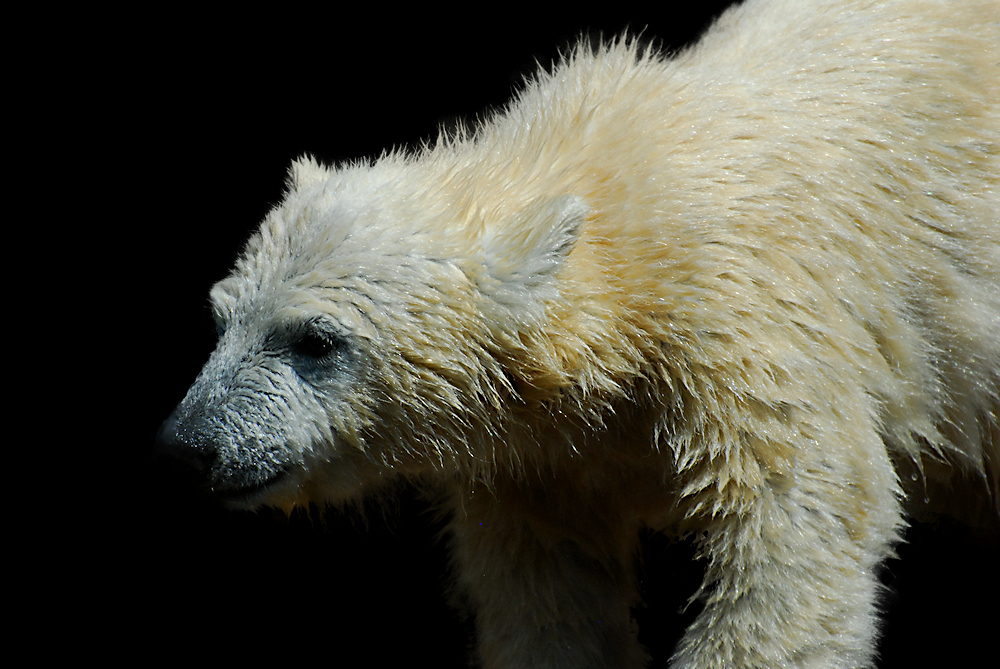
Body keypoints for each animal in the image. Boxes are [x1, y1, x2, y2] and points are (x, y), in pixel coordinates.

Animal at [156, 0, 1000, 664]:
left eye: (315, 340)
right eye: (221, 317)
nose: (189, 445)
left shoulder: (746, 318)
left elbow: (797, 526)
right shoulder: (537, 459)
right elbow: (548, 588)